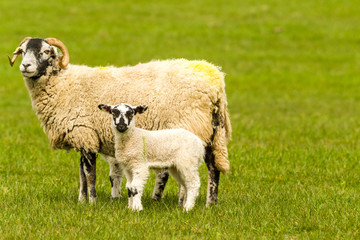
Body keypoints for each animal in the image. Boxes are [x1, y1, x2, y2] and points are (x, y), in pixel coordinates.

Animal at [9, 36, 233, 205]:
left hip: (192, 125)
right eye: (22, 51)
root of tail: (216, 79)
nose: (25, 65)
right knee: (213, 167)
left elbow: (89, 173)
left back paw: (184, 202)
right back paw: (210, 204)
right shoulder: (84, 136)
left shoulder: (85, 132)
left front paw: (92, 202)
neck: (63, 84)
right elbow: (81, 173)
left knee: (200, 170)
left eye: (46, 51)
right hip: (210, 130)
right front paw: (82, 201)